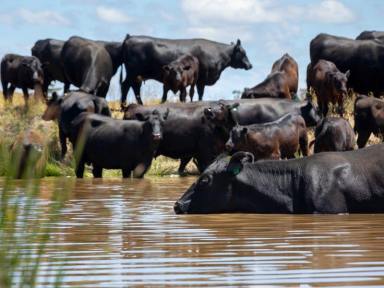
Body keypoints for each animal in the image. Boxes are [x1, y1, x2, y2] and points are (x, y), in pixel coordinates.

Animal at [120, 35, 252, 104]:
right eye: (243, 52)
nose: (250, 65)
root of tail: (130, 37)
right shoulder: (201, 79)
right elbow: (200, 93)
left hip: (136, 75)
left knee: (134, 88)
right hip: (132, 73)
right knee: (125, 85)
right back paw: (123, 106)